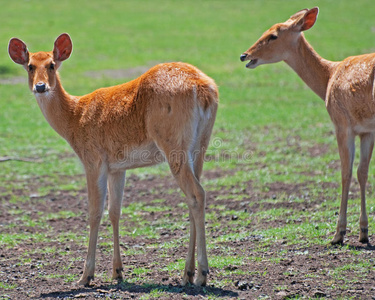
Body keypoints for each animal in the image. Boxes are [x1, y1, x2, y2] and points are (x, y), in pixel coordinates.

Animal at [8, 32, 220, 286]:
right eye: (30, 66)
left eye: (51, 64)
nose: (40, 87)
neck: (75, 118)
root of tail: (204, 89)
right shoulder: (117, 167)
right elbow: (114, 211)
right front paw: (117, 272)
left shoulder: (93, 159)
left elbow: (94, 212)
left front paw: (85, 276)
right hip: (200, 144)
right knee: (193, 197)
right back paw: (187, 273)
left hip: (173, 143)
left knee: (197, 193)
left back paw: (201, 275)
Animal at [242, 7, 374, 245]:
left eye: (273, 35)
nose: (244, 55)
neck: (328, 78)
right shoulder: (367, 130)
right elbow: (362, 172)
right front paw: (363, 232)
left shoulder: (342, 124)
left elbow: (345, 172)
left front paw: (338, 234)